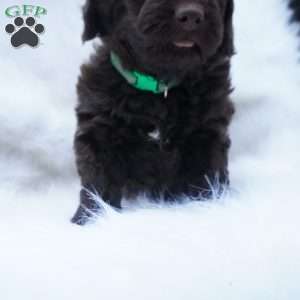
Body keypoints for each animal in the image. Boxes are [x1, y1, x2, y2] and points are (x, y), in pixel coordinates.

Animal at [72, 0, 234, 225]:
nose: (191, 15)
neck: (159, 87)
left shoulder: (207, 131)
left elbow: (205, 177)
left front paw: (209, 208)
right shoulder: (100, 130)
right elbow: (99, 183)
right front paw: (89, 219)